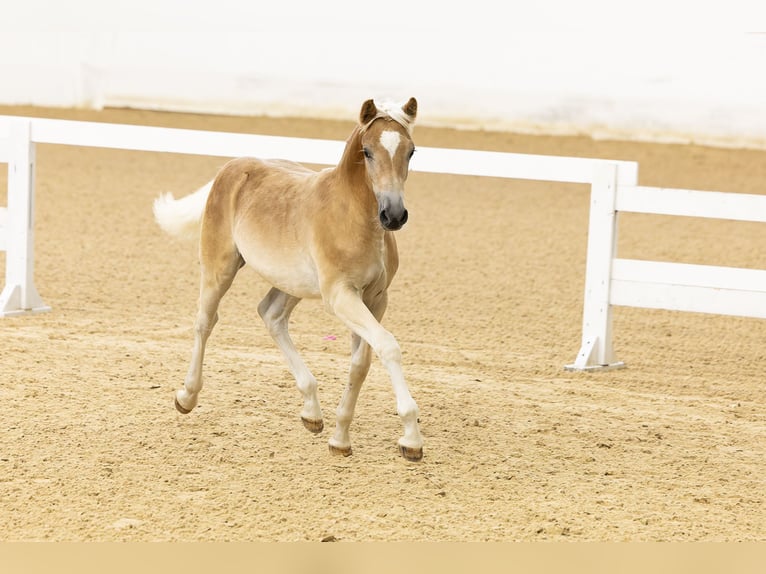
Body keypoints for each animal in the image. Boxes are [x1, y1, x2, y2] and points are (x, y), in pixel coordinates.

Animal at [151, 97, 426, 462]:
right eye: (367, 152)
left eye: (411, 151)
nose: (393, 215)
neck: (353, 215)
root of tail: (233, 166)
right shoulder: (341, 295)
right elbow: (388, 347)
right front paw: (411, 438)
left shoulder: (375, 298)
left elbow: (361, 363)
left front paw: (340, 438)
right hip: (219, 266)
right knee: (205, 321)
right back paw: (186, 397)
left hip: (293, 283)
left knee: (271, 314)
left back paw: (311, 411)